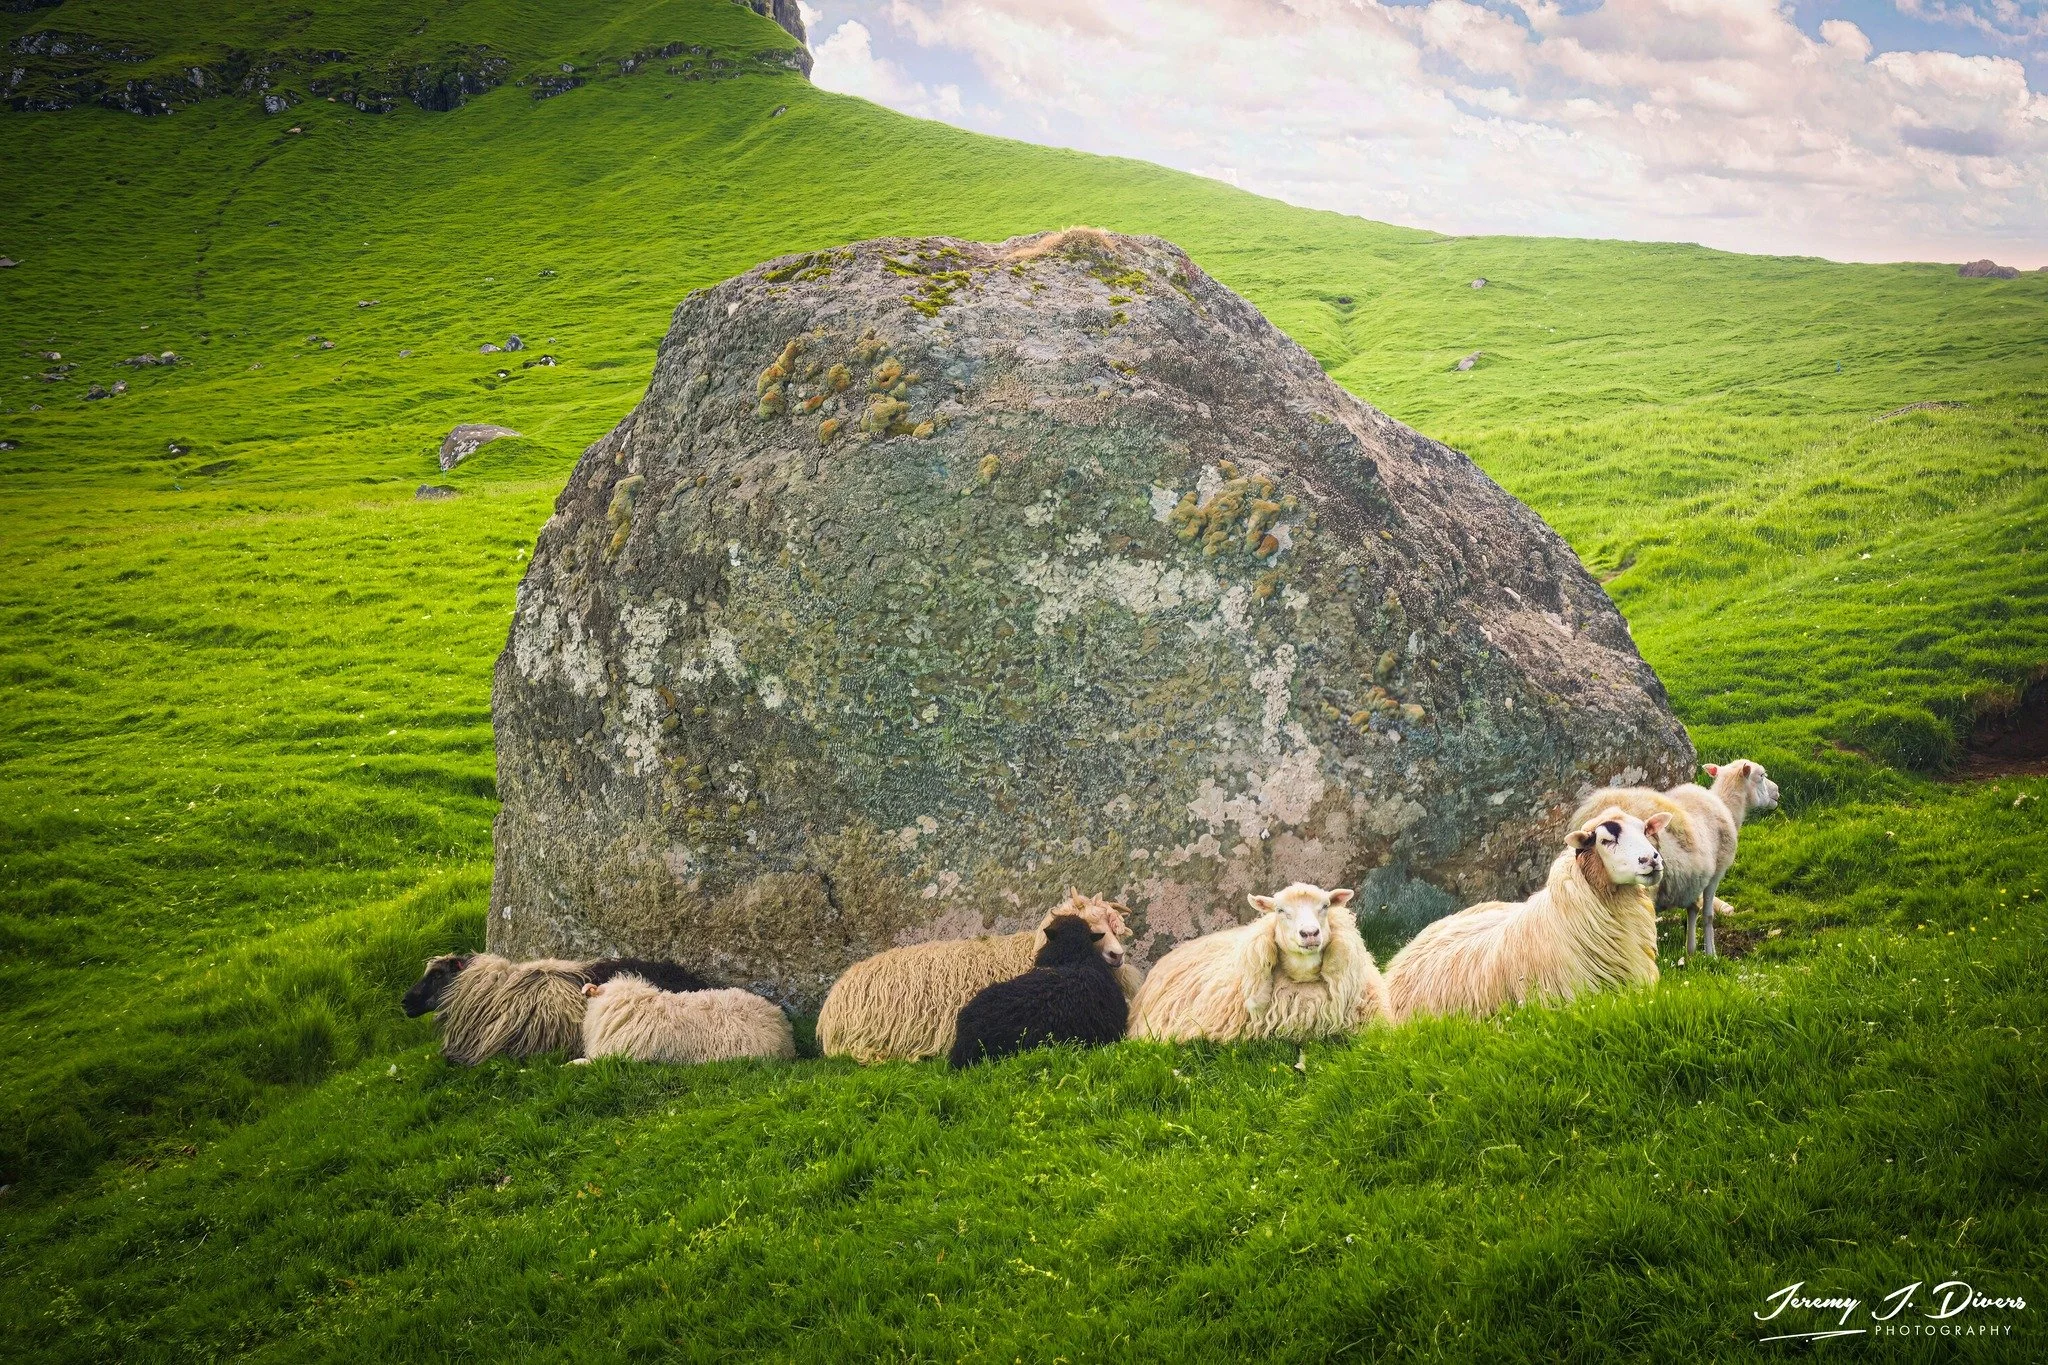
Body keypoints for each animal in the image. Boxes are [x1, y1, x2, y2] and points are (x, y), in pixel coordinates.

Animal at [1572, 759, 1780, 957]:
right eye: (1761, 775)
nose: (1777, 792)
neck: (1728, 807)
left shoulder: (1695, 877)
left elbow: (1693, 908)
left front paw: (1691, 951)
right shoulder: (1716, 874)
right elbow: (1708, 915)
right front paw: (1711, 954)